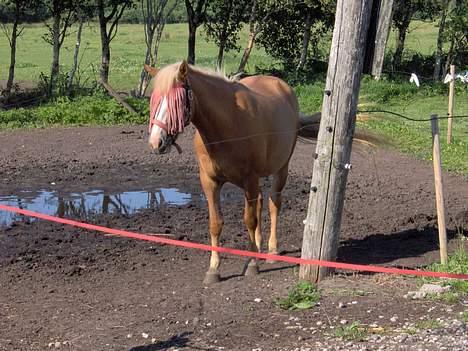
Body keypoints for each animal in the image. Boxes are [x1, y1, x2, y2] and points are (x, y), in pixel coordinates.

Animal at [144, 61, 322, 286]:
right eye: (155, 100)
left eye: (177, 101)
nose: (155, 142)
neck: (226, 126)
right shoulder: (209, 182)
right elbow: (215, 223)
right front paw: (213, 269)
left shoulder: (249, 179)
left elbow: (249, 220)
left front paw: (252, 264)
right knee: (260, 202)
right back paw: (258, 246)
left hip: (281, 169)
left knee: (273, 204)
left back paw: (271, 251)